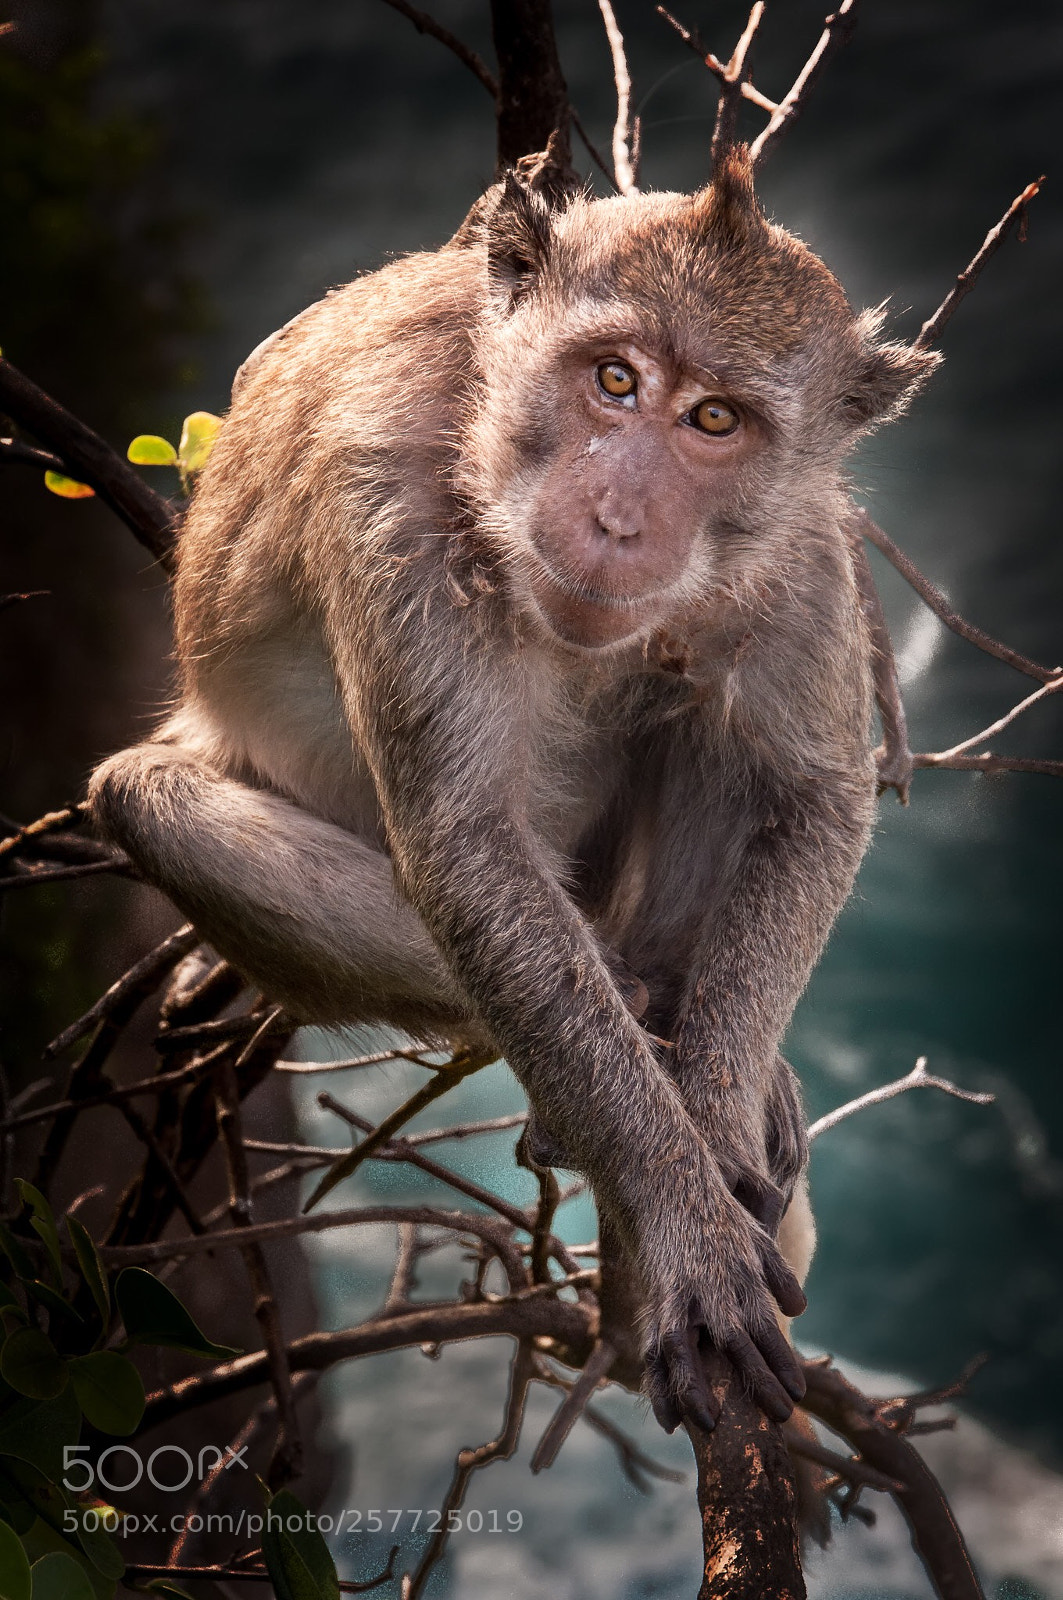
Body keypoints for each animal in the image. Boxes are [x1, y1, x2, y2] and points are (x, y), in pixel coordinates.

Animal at [88, 146, 938, 1437]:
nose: (617, 516)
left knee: (700, 712)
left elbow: (811, 797)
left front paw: (716, 1123)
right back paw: (629, 1008)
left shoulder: (794, 534)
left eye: (715, 419)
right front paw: (680, 1223)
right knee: (147, 800)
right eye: (613, 379)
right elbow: (466, 849)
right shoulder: (382, 493)